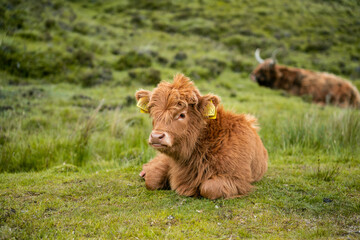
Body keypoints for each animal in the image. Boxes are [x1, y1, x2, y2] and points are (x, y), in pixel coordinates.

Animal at [135, 73, 268, 199]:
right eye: (153, 113)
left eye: (182, 114)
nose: (156, 136)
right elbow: (152, 180)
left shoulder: (238, 180)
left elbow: (209, 188)